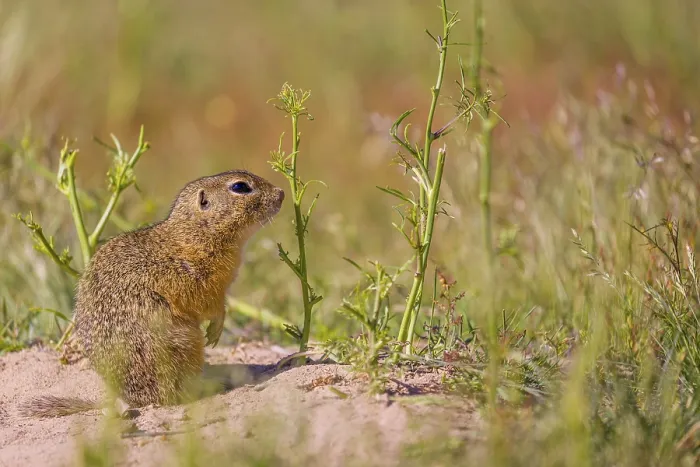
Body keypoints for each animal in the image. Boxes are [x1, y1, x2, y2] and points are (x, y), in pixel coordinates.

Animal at [20, 170, 284, 417]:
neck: (195, 234)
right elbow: (210, 306)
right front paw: (216, 329)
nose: (281, 192)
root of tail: (132, 400)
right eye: (240, 187)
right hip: (184, 344)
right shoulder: (197, 283)